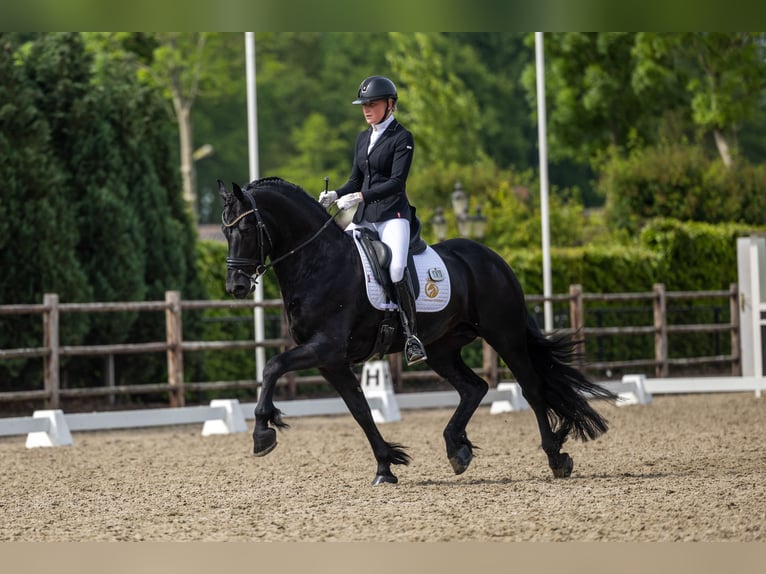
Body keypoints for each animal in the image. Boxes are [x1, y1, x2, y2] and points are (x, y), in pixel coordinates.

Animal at [218, 179, 616, 486]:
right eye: (225, 231)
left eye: (245, 230)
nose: (236, 286)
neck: (318, 262)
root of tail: (493, 258)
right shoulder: (332, 361)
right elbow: (360, 410)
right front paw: (385, 466)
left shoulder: (325, 348)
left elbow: (273, 366)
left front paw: (262, 432)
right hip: (441, 348)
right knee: (474, 387)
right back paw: (457, 448)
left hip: (505, 335)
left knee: (532, 388)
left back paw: (555, 458)